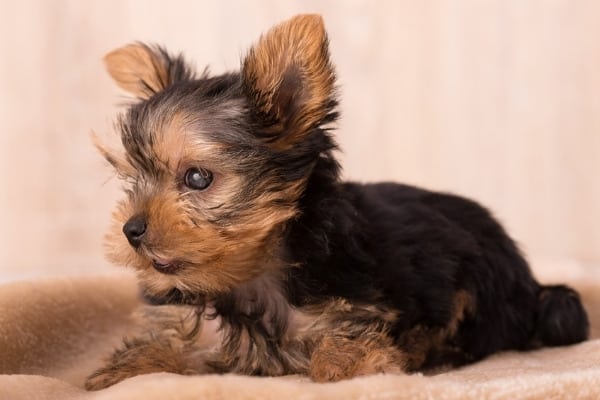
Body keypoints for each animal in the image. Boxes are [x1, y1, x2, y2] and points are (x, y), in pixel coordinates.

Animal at [85, 14, 592, 390]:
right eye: (132, 179)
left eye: (196, 178)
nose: (132, 230)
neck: (247, 278)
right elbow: (159, 347)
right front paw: (119, 371)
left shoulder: (354, 303)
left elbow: (345, 348)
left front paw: (346, 362)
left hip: (479, 279)